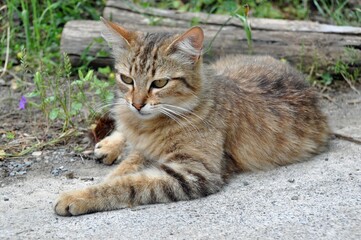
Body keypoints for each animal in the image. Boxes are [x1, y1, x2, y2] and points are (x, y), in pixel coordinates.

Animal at [53, 16, 330, 216]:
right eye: (127, 79)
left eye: (160, 83)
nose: (137, 104)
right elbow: (124, 169)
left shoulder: (193, 172)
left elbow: (128, 184)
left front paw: (81, 196)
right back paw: (110, 143)